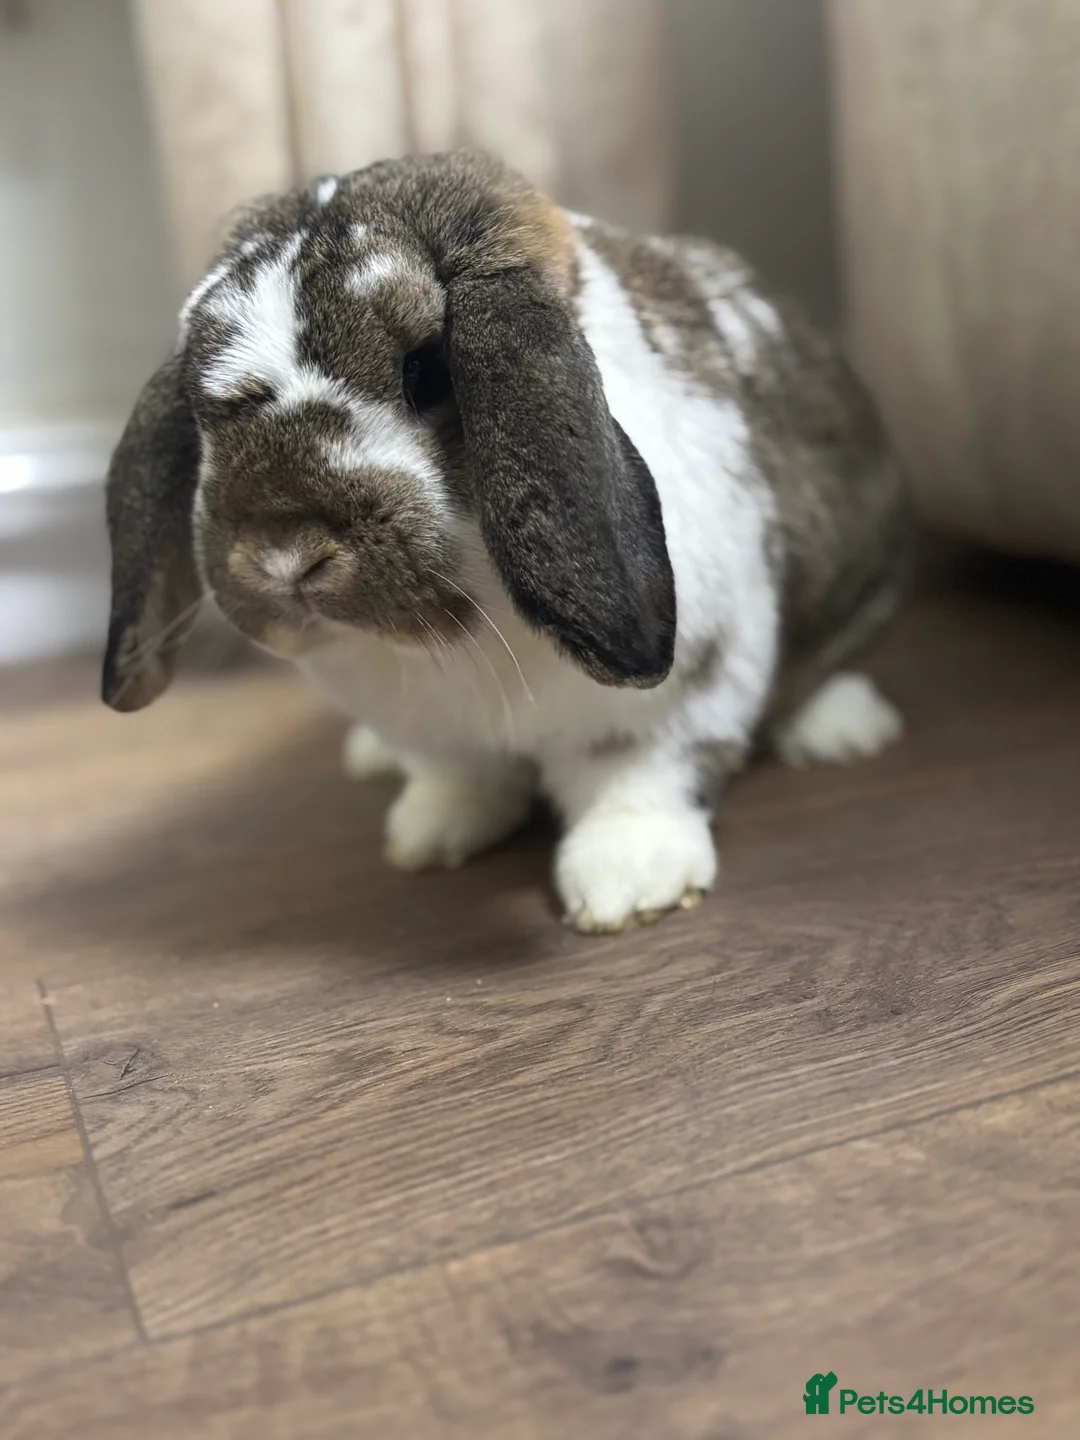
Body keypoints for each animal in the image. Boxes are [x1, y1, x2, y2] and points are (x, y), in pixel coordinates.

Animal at [102, 151, 910, 932]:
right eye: (200, 408)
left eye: (427, 371)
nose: (284, 555)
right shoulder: (442, 737)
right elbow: (460, 777)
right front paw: (428, 836)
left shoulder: (681, 701)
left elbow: (642, 778)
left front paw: (627, 885)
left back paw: (843, 731)